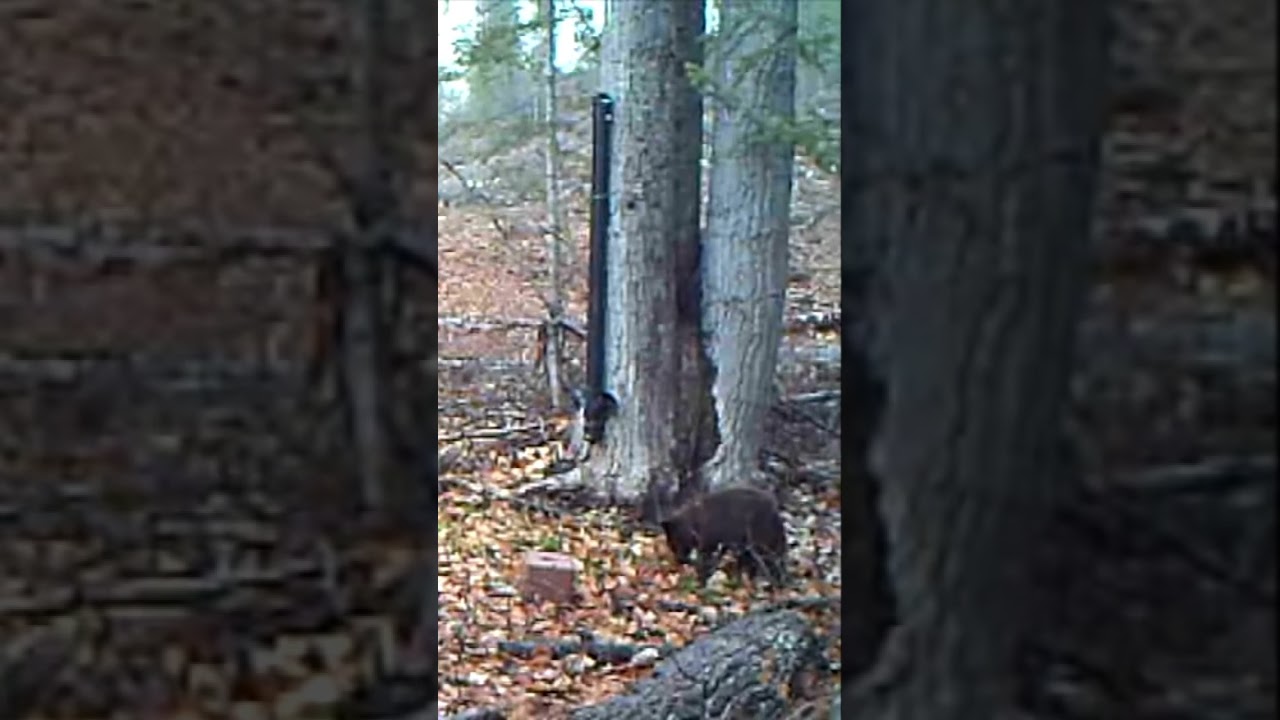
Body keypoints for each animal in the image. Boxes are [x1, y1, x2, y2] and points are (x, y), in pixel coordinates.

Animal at [659, 485, 788, 586]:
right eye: (670, 544)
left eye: (674, 542)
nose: (679, 560)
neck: (694, 523)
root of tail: (774, 506)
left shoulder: (709, 541)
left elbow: (705, 560)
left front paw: (702, 578)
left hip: (761, 536)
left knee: (773, 556)